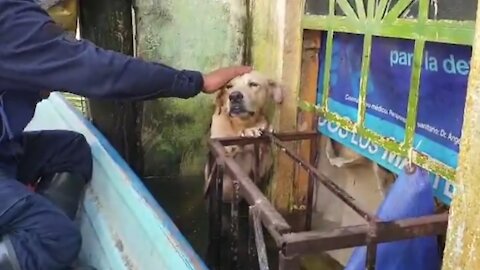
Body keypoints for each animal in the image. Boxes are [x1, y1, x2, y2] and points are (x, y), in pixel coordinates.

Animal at [204, 70, 284, 201]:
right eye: (229, 86)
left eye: (253, 84)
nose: (234, 96)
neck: (241, 124)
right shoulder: (219, 160)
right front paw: (248, 132)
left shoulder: (260, 169)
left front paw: (264, 127)